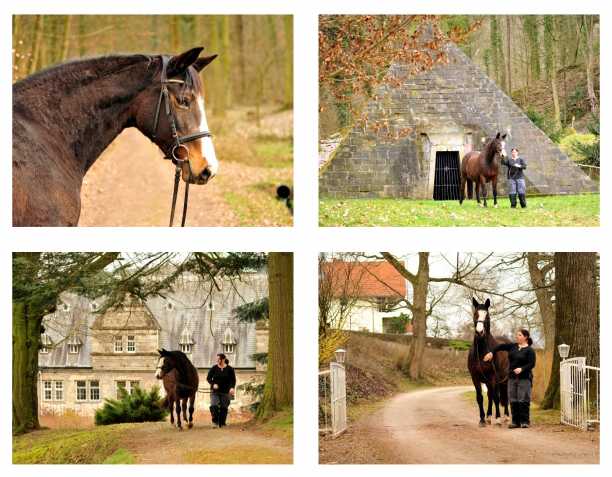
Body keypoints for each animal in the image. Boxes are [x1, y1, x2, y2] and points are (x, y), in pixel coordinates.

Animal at [466, 298, 510, 428]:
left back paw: (506, 417)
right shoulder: (475, 377)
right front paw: (482, 419)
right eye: (475, 313)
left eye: (487, 314)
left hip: (505, 379)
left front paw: (498, 421)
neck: (482, 352)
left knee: (504, 396)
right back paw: (489, 417)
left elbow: (496, 398)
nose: (479, 331)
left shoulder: (495, 376)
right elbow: (480, 397)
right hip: (488, 381)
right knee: (489, 396)